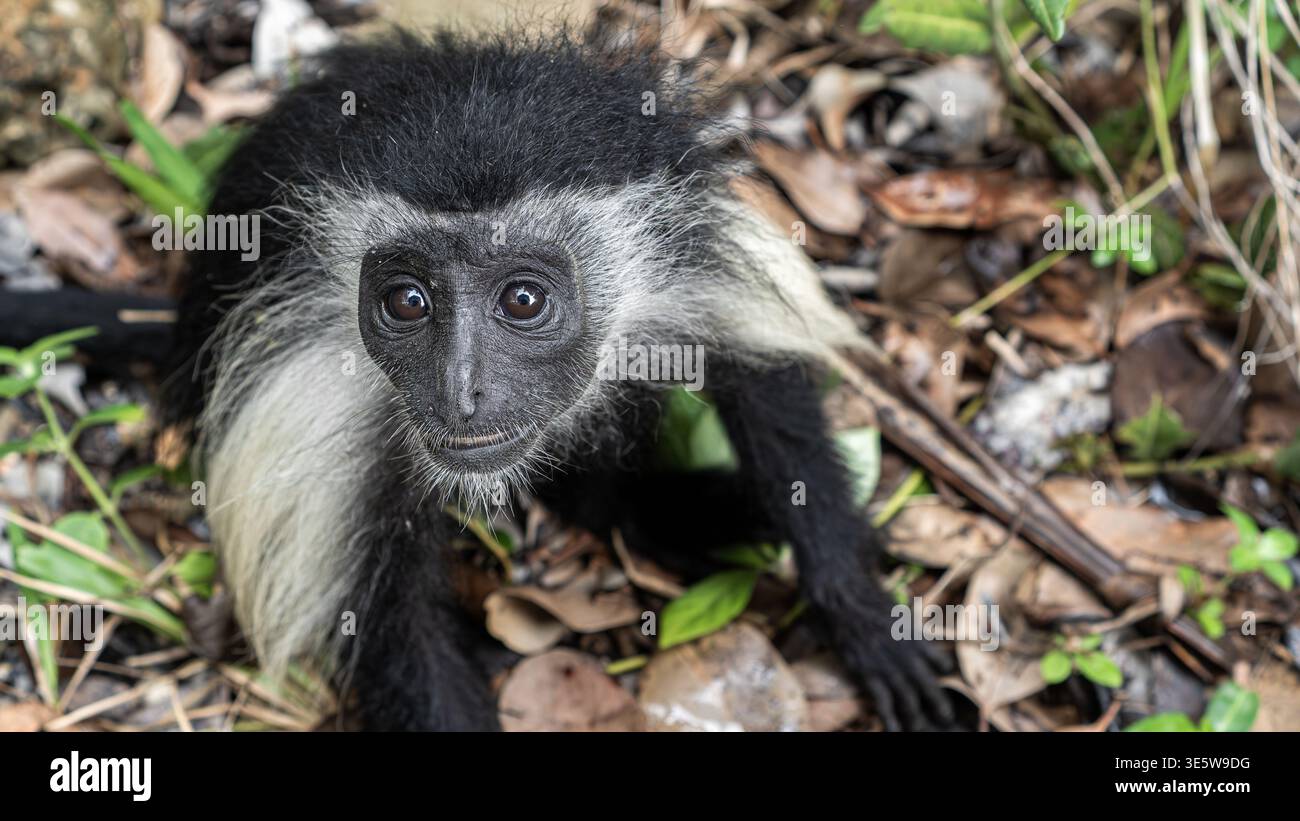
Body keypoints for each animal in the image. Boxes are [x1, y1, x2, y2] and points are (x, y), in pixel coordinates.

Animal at [161, 28, 954, 732]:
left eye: (522, 299)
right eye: (407, 302)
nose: (461, 391)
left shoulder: (690, 253)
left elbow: (765, 386)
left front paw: (864, 618)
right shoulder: (312, 393)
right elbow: (389, 626)